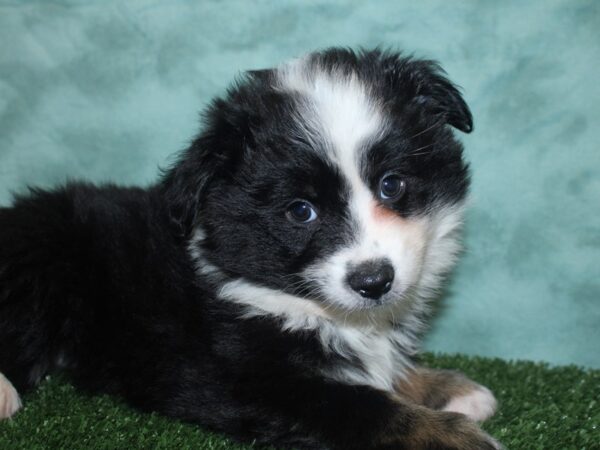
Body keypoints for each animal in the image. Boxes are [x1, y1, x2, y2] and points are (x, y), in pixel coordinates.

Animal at [0, 47, 502, 448]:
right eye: (301, 211)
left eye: (392, 184)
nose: (374, 281)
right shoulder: (238, 376)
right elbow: (362, 405)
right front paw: (455, 437)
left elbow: (382, 368)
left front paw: (450, 389)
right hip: (41, 258)